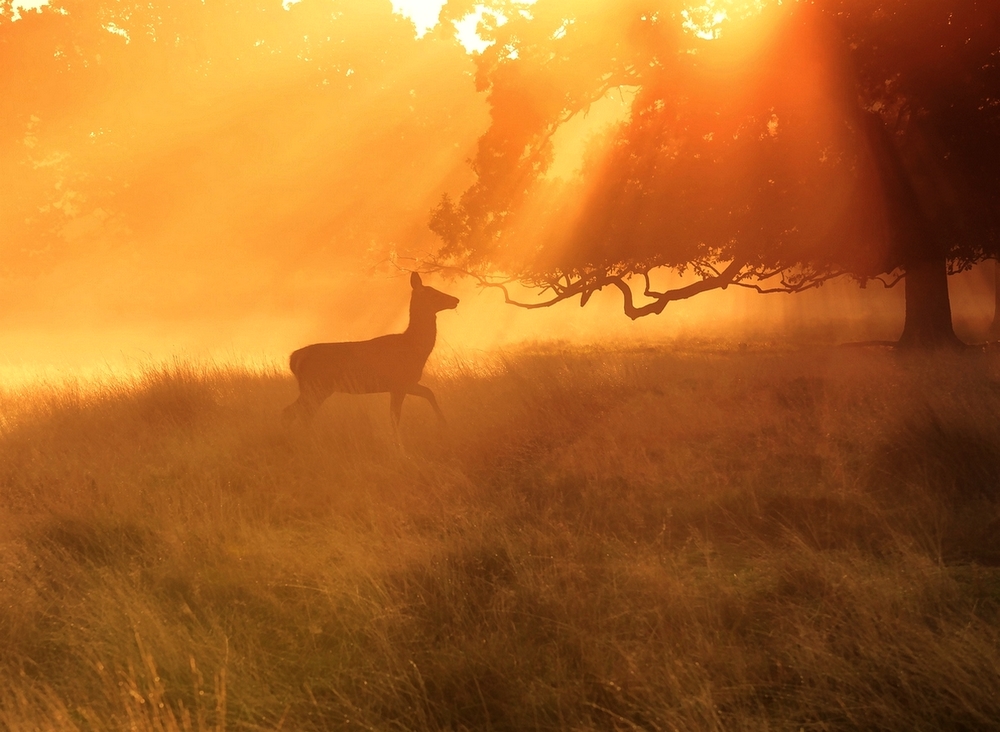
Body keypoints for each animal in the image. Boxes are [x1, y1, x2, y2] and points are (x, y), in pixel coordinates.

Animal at [284, 272, 458, 426]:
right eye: (433, 294)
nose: (456, 299)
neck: (413, 346)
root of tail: (294, 358)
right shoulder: (399, 383)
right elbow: (394, 419)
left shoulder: (407, 383)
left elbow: (429, 393)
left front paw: (443, 422)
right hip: (316, 386)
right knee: (299, 414)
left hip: (313, 388)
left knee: (292, 412)